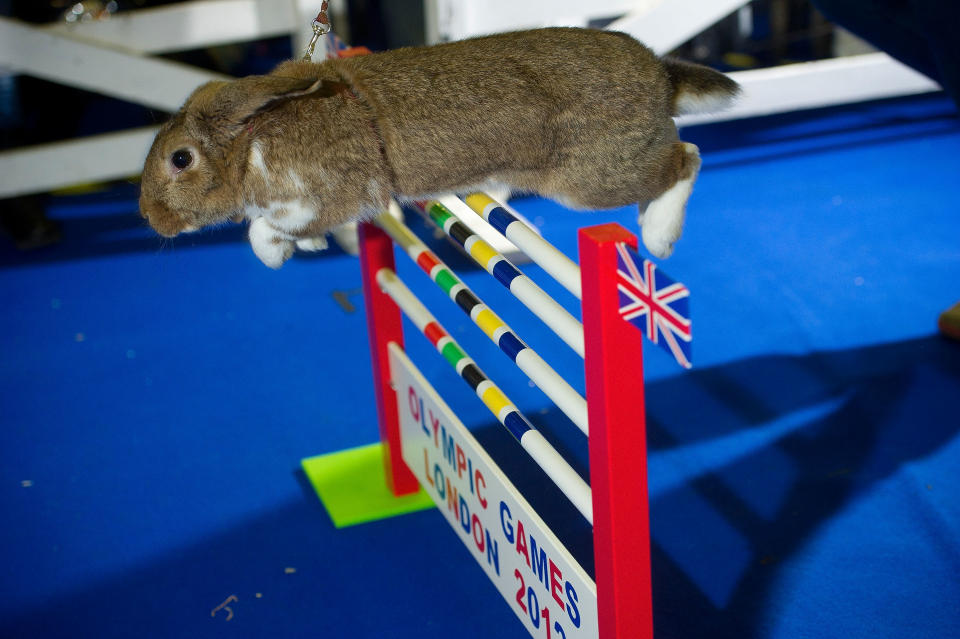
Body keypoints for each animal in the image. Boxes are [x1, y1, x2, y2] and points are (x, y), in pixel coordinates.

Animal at [139, 26, 740, 268]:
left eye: (180, 159)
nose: (148, 218)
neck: (251, 142)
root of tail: (661, 74)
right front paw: (306, 248)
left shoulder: (326, 196)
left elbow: (262, 228)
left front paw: (274, 254)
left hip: (593, 179)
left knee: (686, 158)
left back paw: (659, 237)